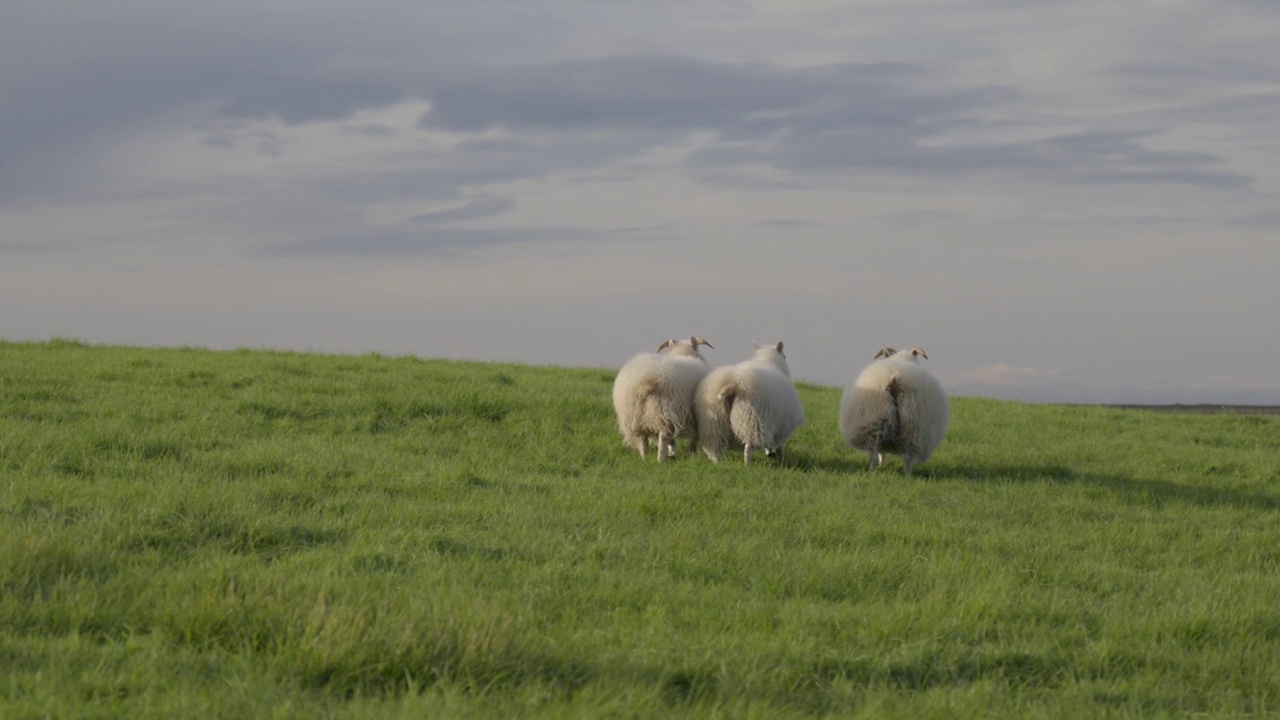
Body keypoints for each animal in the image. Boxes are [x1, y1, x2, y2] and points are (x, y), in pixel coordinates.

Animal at [839, 345, 952, 474]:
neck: (902, 359)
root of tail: (894, 379)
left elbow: (882, 453)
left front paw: (881, 467)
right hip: (912, 426)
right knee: (905, 457)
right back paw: (905, 475)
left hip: (878, 421)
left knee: (875, 452)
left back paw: (874, 471)